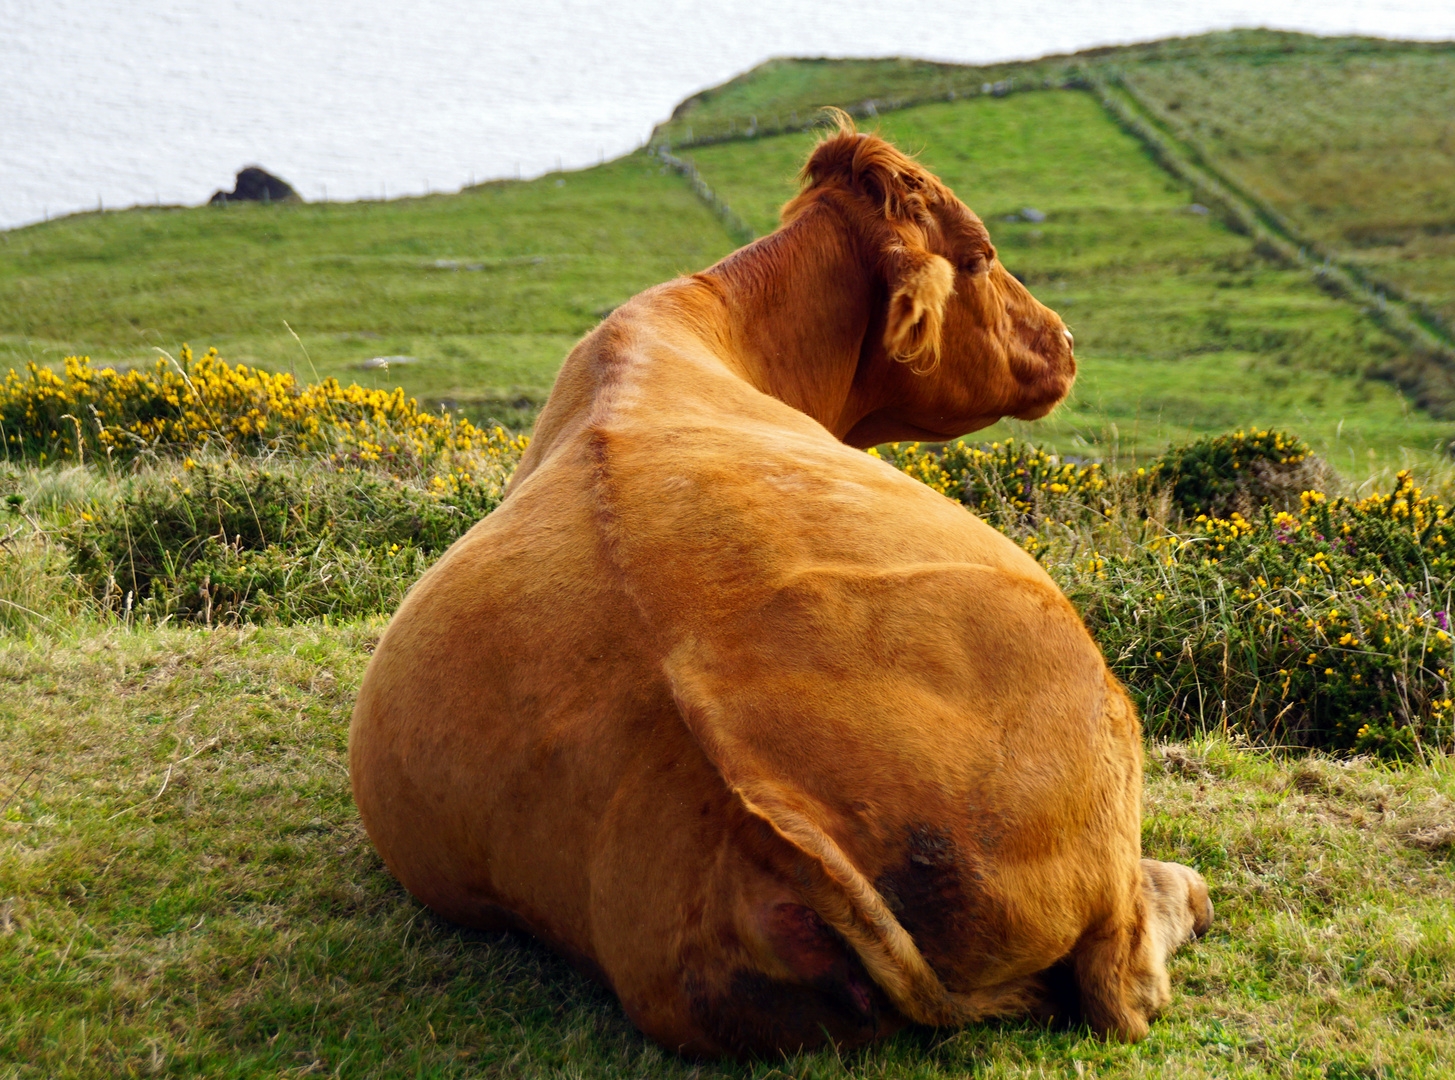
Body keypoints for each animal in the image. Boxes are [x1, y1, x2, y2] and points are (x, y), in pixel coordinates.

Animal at [346, 114, 1210, 1059]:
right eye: (981, 256)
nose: (1064, 341)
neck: (722, 329)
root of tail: (763, 795)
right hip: (1100, 723)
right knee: (1121, 981)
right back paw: (1183, 890)